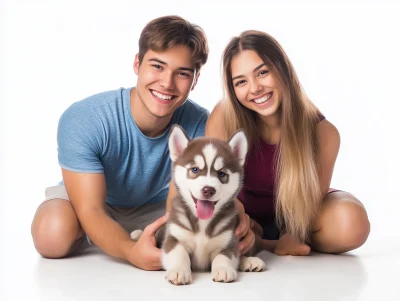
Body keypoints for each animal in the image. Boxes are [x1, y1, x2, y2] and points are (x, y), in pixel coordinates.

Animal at [131, 124, 264, 284]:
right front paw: (179, 270)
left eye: (221, 174)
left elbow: (224, 255)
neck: (202, 223)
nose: (208, 190)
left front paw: (223, 269)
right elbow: (178, 253)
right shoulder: (174, 237)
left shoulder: (229, 240)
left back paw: (250, 261)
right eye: (194, 169)